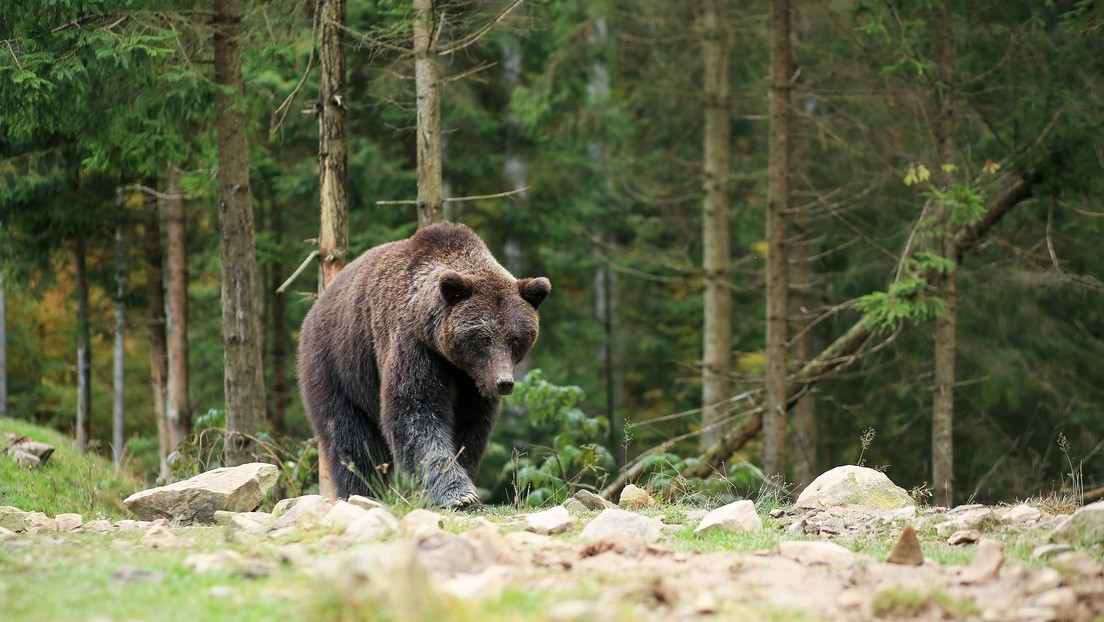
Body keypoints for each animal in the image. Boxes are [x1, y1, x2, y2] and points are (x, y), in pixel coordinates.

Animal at [295, 220, 549, 508]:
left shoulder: (472, 381)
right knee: (349, 438)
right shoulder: (413, 346)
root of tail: (317, 305)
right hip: (337, 365)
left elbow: (470, 427)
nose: (503, 382)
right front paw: (460, 494)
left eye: (515, 339)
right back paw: (361, 492)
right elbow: (415, 411)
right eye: (484, 338)